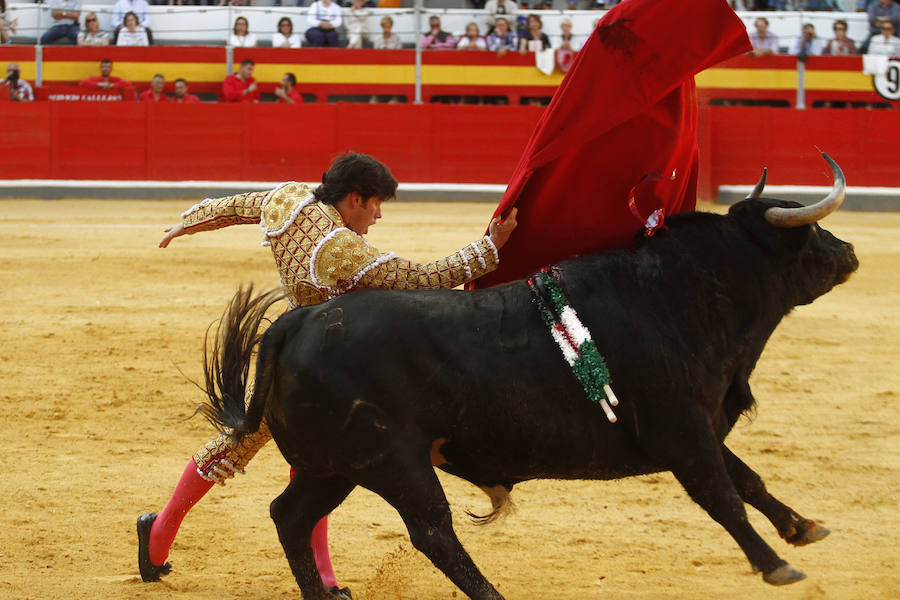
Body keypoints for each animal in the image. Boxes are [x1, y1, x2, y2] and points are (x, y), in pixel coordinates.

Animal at [202, 154, 856, 596]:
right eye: (807, 229)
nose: (848, 253)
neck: (681, 294)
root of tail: (298, 322)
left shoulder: (699, 426)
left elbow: (748, 480)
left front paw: (805, 528)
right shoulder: (681, 431)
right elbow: (723, 496)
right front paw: (777, 565)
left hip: (334, 465)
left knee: (291, 516)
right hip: (390, 461)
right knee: (432, 532)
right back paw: (491, 595)